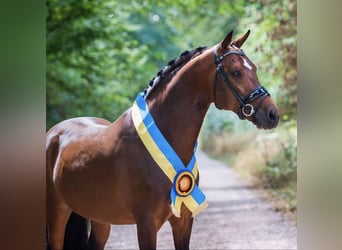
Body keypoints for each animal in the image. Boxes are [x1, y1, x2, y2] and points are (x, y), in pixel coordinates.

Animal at [46, 30, 280, 249]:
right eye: (235, 72)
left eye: (254, 68)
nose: (272, 115)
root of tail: (53, 132)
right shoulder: (146, 224)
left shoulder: (183, 221)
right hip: (57, 214)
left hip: (100, 218)